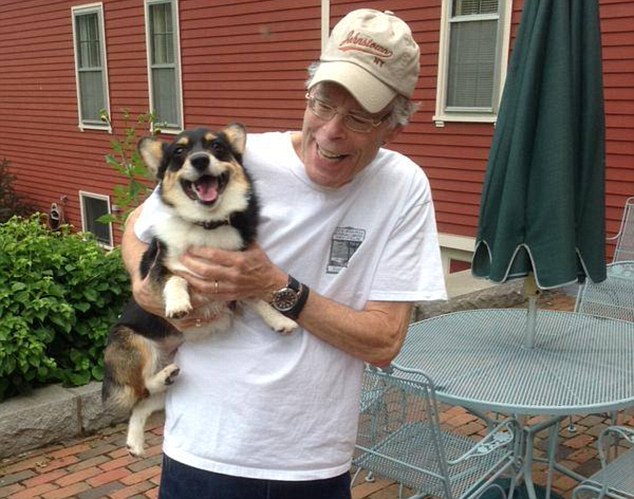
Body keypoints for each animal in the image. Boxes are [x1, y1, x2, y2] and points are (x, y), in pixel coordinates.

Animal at [100, 124, 294, 458]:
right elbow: (177, 279)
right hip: (136, 343)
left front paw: (280, 320)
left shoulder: (238, 278)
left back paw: (136, 442)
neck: (207, 225)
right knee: (141, 388)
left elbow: (259, 300)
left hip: (165, 381)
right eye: (179, 151)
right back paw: (158, 381)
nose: (200, 160)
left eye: (217, 146)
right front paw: (178, 303)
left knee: (142, 403)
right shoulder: (159, 268)